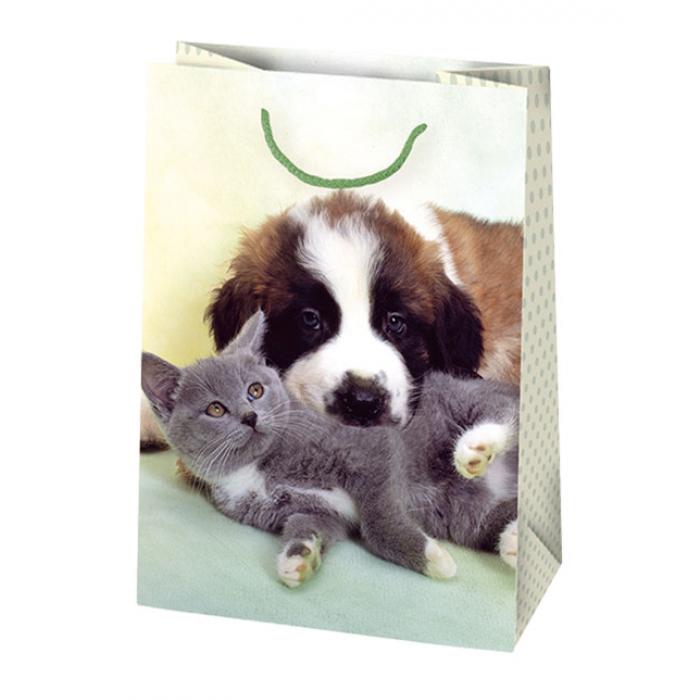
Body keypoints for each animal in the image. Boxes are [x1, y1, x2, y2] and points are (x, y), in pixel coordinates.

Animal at [141, 311, 519, 587]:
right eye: (216, 409)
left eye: (255, 390)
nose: (250, 416)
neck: (255, 469)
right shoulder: (314, 512)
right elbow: (309, 525)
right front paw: (298, 560)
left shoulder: (371, 448)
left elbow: (377, 522)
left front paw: (432, 560)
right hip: (470, 515)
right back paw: (512, 541)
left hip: (462, 398)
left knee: (507, 413)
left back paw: (475, 448)